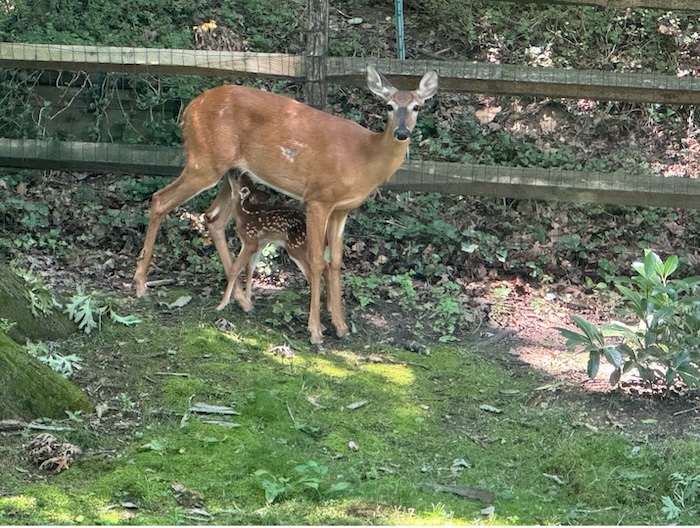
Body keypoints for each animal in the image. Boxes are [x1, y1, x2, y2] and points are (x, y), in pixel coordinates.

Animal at [217, 172, 328, 313]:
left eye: (238, 178)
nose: (230, 172)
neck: (242, 214)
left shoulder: (250, 240)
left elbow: (234, 269)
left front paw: (222, 304)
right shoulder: (260, 243)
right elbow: (250, 268)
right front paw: (248, 300)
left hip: (296, 248)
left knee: (315, 276)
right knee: (326, 267)